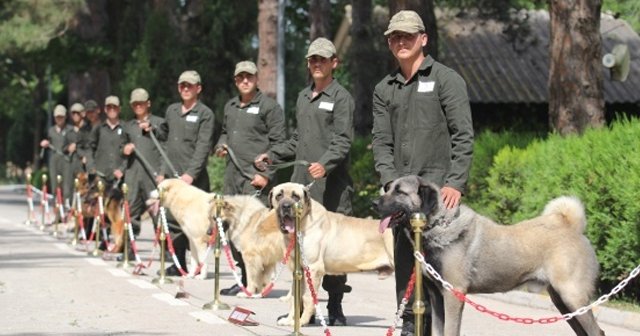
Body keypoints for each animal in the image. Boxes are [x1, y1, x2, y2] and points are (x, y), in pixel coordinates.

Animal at [372, 176, 604, 336]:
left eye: (400, 192)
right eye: (388, 188)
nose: (374, 203)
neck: (438, 224)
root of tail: (571, 227)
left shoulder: (453, 294)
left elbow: (450, 331)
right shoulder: (437, 297)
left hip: (572, 296)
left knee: (596, 332)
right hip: (563, 301)